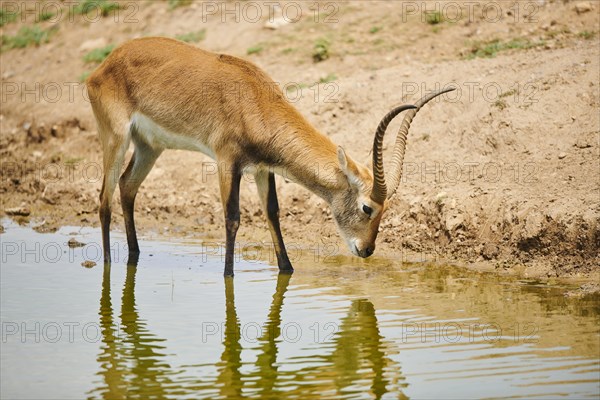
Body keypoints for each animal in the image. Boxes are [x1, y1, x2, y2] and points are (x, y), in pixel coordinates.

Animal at [88, 37, 454, 276]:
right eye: (368, 207)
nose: (366, 250)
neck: (255, 100)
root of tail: (104, 64)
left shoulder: (263, 169)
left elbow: (273, 213)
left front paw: (287, 268)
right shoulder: (227, 162)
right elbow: (232, 218)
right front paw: (229, 275)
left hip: (150, 147)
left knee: (127, 187)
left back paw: (134, 256)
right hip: (116, 139)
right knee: (104, 199)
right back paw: (106, 264)